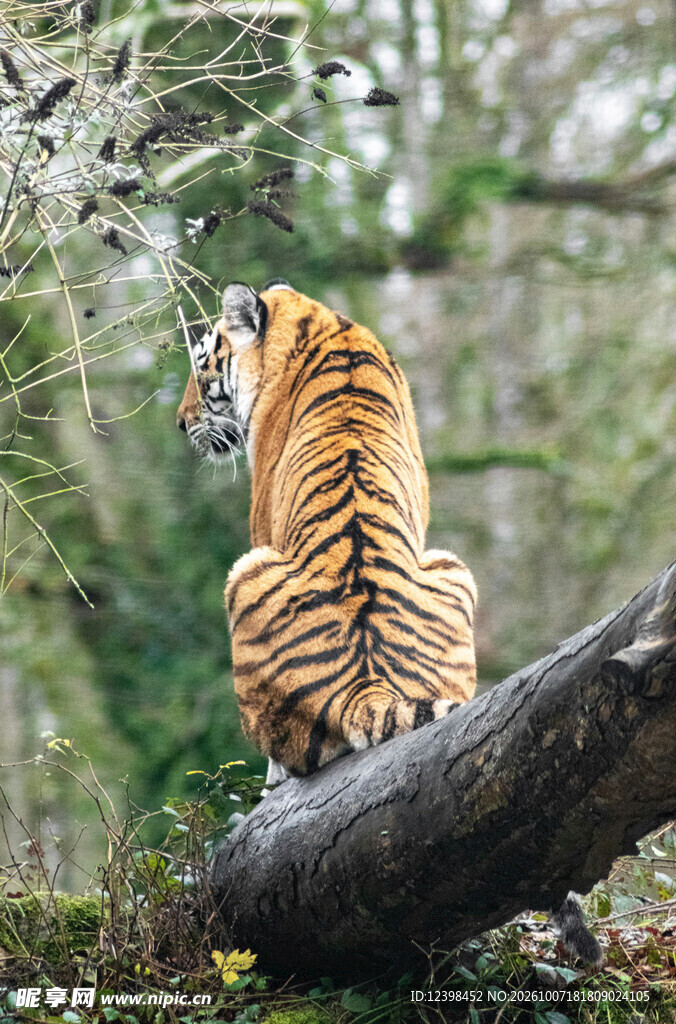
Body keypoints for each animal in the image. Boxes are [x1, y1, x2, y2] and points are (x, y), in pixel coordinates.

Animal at [177, 279, 602, 966]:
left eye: (202, 366)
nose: (181, 421)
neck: (317, 325)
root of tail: (369, 688)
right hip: (454, 569)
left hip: (244, 572)